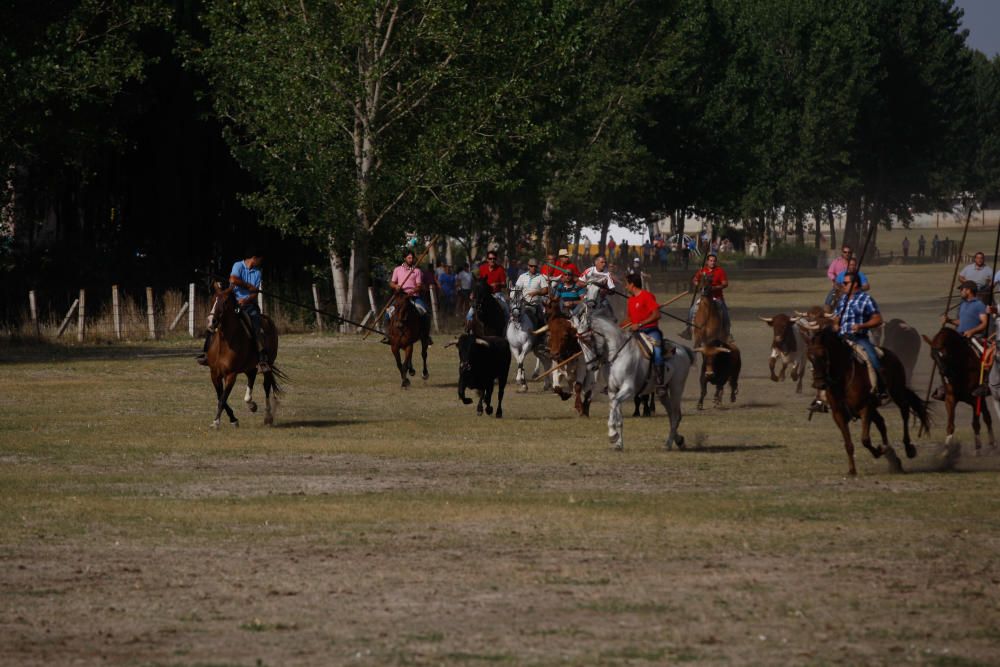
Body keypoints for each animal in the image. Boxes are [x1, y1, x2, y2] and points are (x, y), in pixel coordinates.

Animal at [202, 284, 284, 430]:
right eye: (213, 300)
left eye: (225, 302)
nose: (211, 321)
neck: (224, 343)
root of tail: (268, 320)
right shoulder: (214, 374)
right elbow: (220, 397)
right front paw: (232, 419)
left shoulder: (231, 375)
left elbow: (223, 398)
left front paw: (217, 422)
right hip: (249, 367)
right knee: (251, 378)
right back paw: (251, 404)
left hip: (268, 364)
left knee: (266, 386)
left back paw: (268, 417)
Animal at [576, 306, 692, 452]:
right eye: (579, 342)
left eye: (587, 339)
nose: (591, 366)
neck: (619, 354)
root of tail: (683, 350)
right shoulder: (613, 390)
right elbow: (618, 416)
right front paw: (619, 444)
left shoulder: (628, 390)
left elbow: (613, 404)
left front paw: (612, 435)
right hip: (663, 392)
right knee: (672, 415)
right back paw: (678, 440)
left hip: (676, 387)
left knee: (676, 415)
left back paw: (669, 444)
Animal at [796, 322, 928, 474]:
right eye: (809, 356)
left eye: (824, 355)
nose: (819, 384)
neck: (843, 378)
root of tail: (892, 355)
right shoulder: (839, 414)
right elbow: (848, 444)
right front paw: (852, 470)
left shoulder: (865, 408)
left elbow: (865, 439)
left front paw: (879, 451)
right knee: (882, 423)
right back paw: (893, 457)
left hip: (897, 392)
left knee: (904, 411)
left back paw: (908, 448)